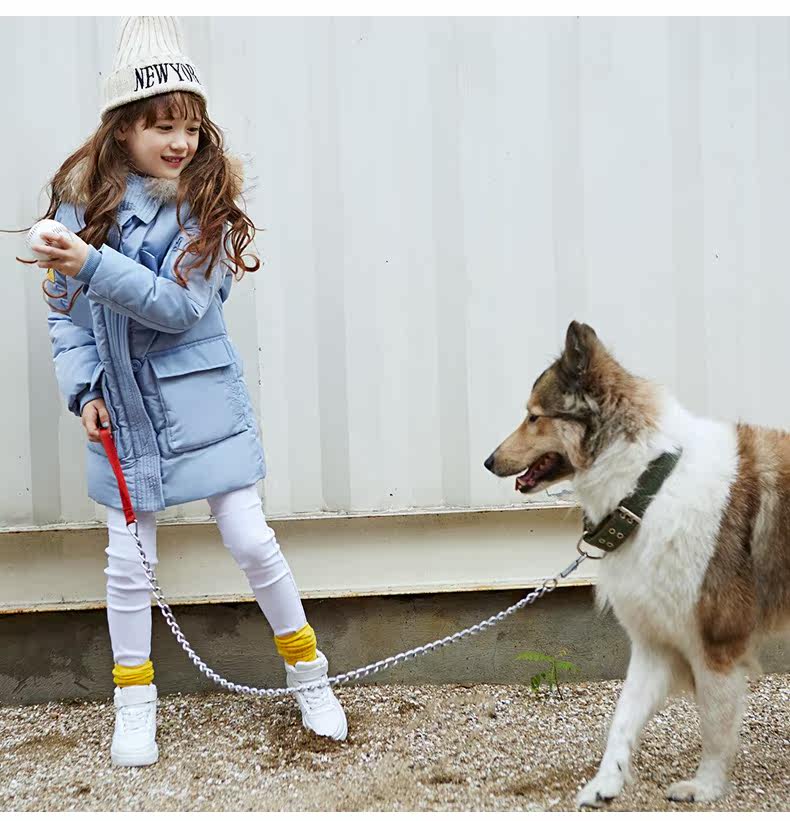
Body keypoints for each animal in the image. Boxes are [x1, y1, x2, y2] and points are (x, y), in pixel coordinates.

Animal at [484, 320, 790, 807]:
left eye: (534, 416)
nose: (489, 461)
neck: (649, 486)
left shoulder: (716, 643)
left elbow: (715, 727)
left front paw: (705, 787)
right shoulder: (653, 641)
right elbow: (623, 719)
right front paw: (604, 783)